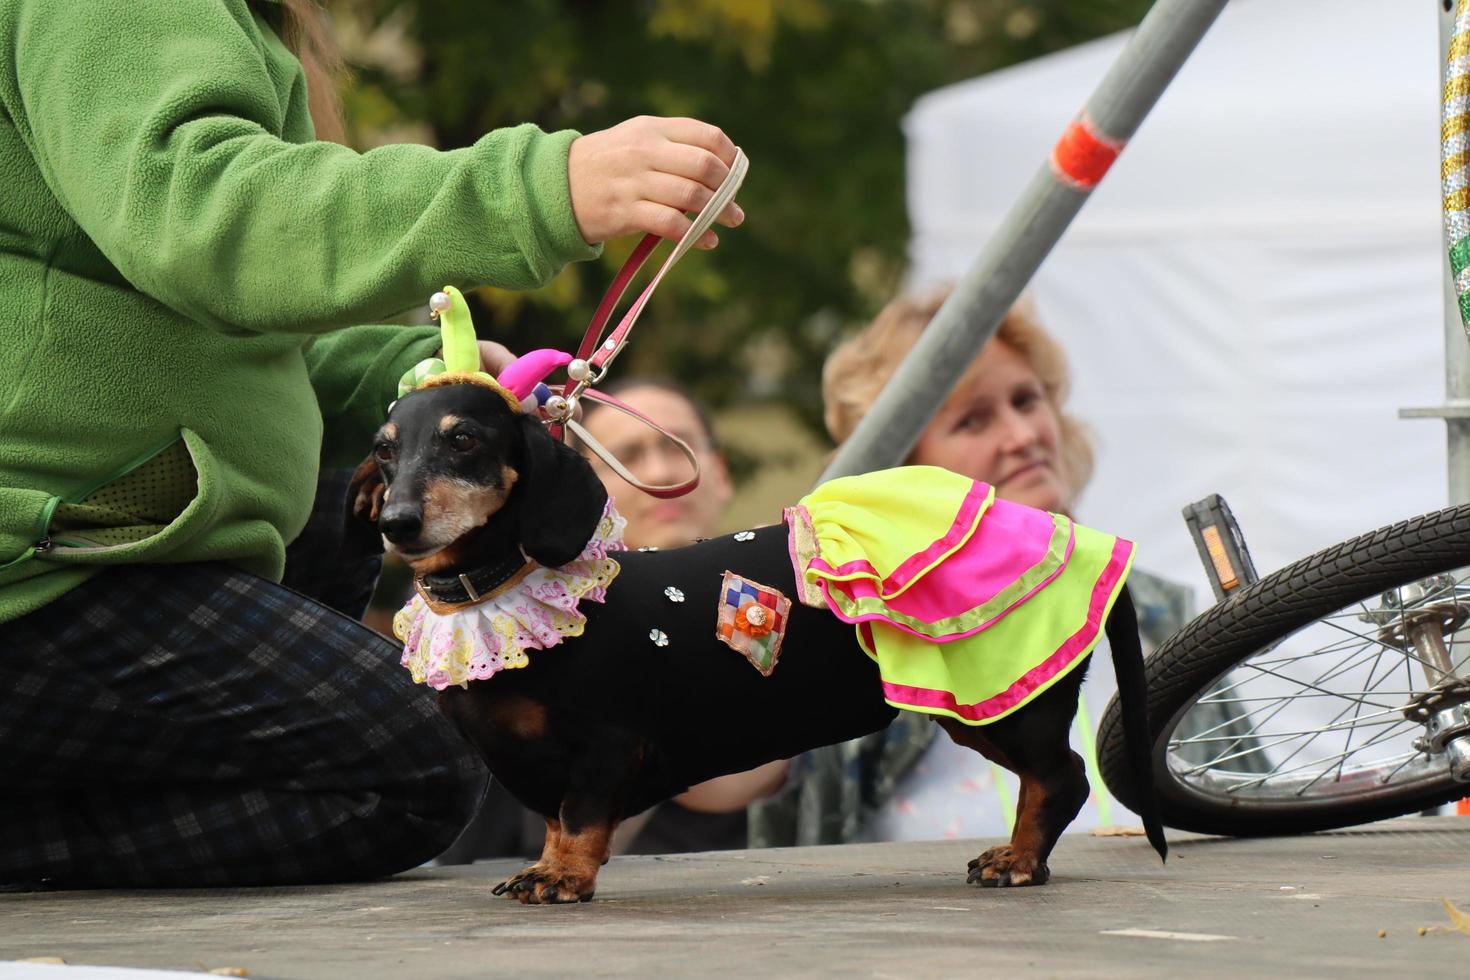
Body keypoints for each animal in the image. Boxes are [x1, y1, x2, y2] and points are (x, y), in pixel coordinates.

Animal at [349, 379, 1164, 905]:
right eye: (386, 452)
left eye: (464, 440)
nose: (397, 523)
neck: (500, 592)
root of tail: (1084, 539)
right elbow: (555, 821)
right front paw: (546, 869)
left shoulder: (609, 743)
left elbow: (579, 818)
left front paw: (564, 878)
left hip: (1001, 704)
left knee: (1062, 777)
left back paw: (1019, 861)